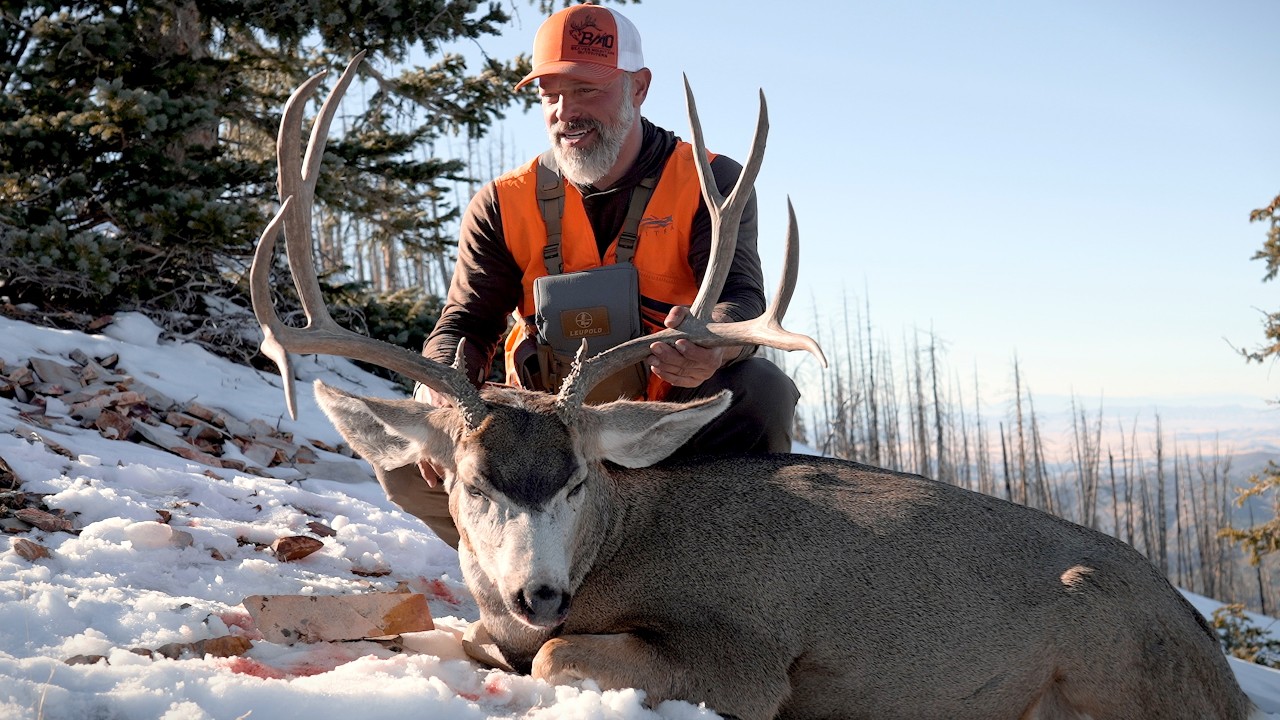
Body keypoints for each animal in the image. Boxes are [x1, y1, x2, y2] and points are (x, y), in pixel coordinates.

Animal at [250, 53, 1259, 720]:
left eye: (578, 479)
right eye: (469, 483)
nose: (539, 593)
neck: (616, 547)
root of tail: (1215, 664)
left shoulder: (744, 653)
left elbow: (559, 659)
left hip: (1104, 646)